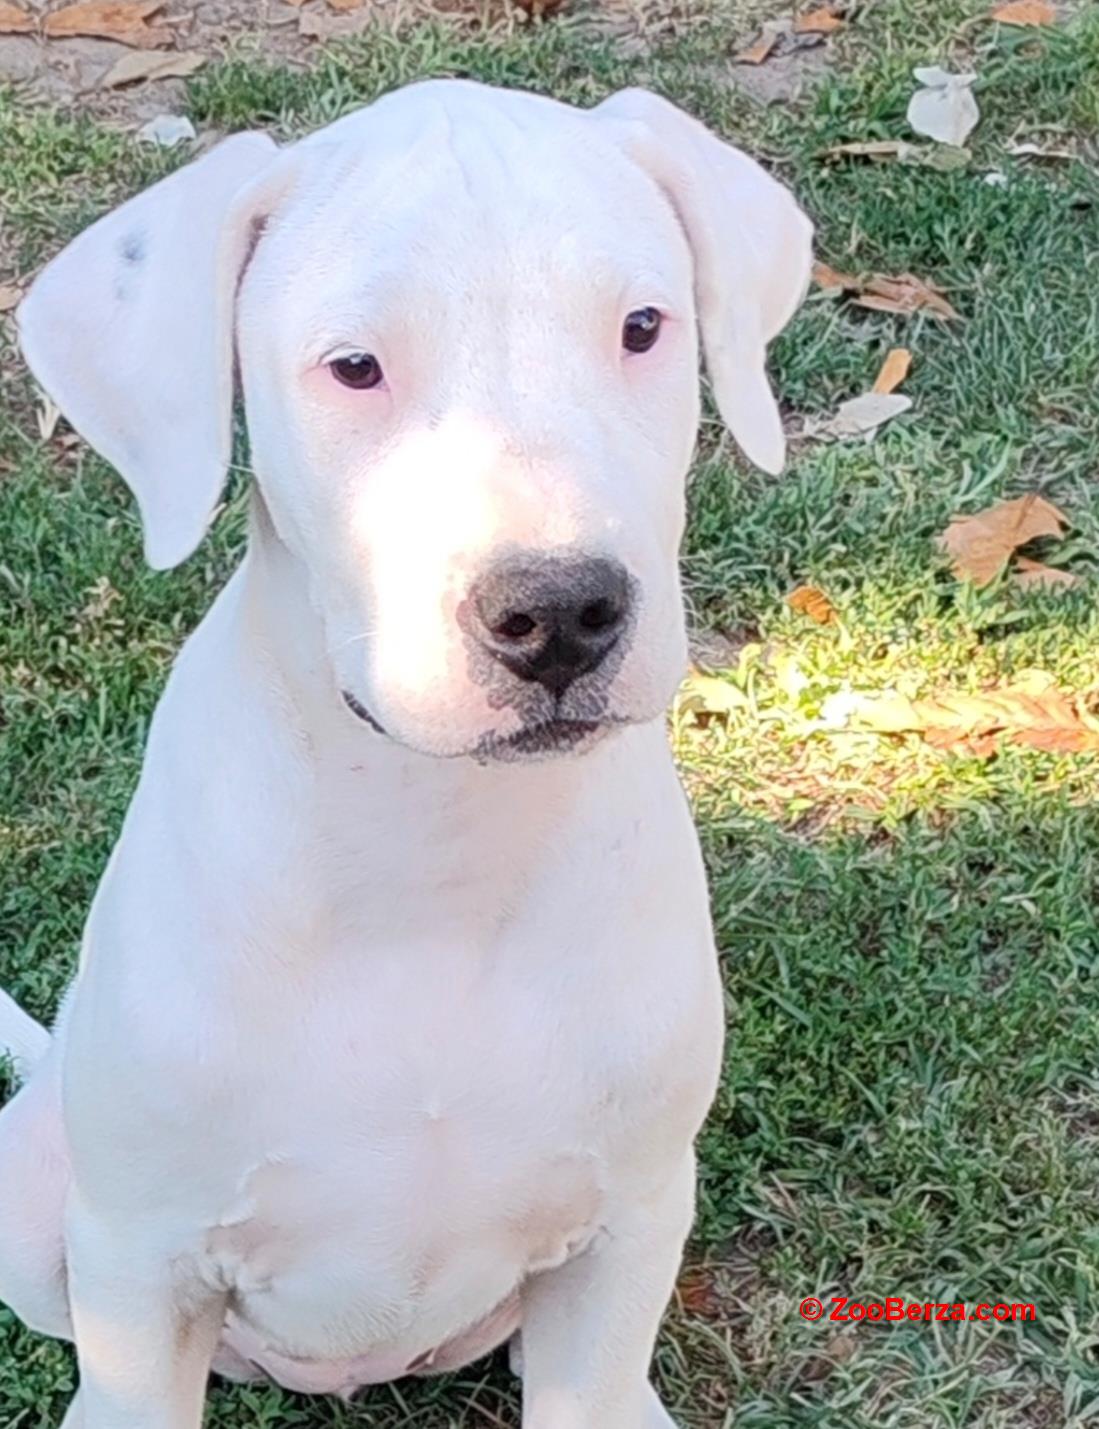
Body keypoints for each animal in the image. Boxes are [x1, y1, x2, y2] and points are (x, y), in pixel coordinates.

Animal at [0, 81, 806, 1429]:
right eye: (354, 367)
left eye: (643, 326)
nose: (560, 612)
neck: (431, 835)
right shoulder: (143, 1262)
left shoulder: (625, 1224)